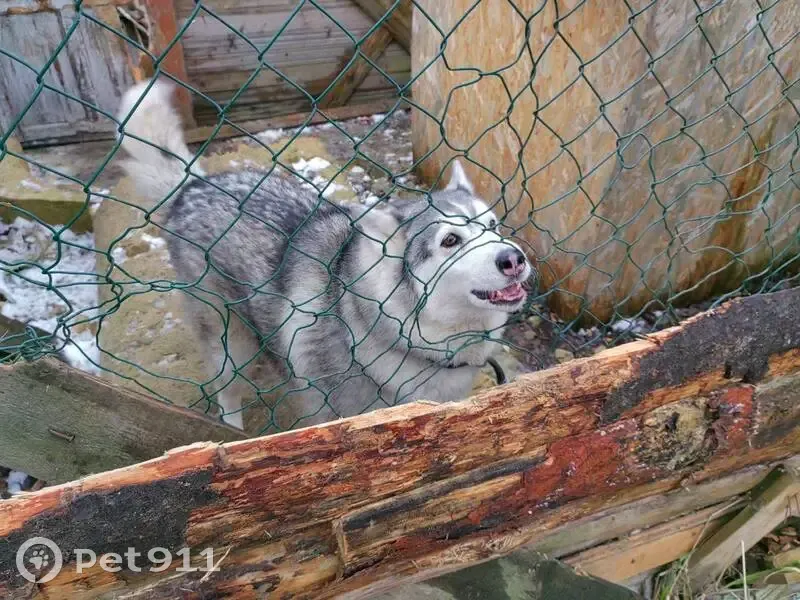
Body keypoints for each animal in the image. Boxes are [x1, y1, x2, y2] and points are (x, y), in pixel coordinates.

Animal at [117, 80, 533, 430]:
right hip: (228, 342)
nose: (514, 259)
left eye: (493, 224)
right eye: (450, 241)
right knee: (228, 390)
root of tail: (195, 186)